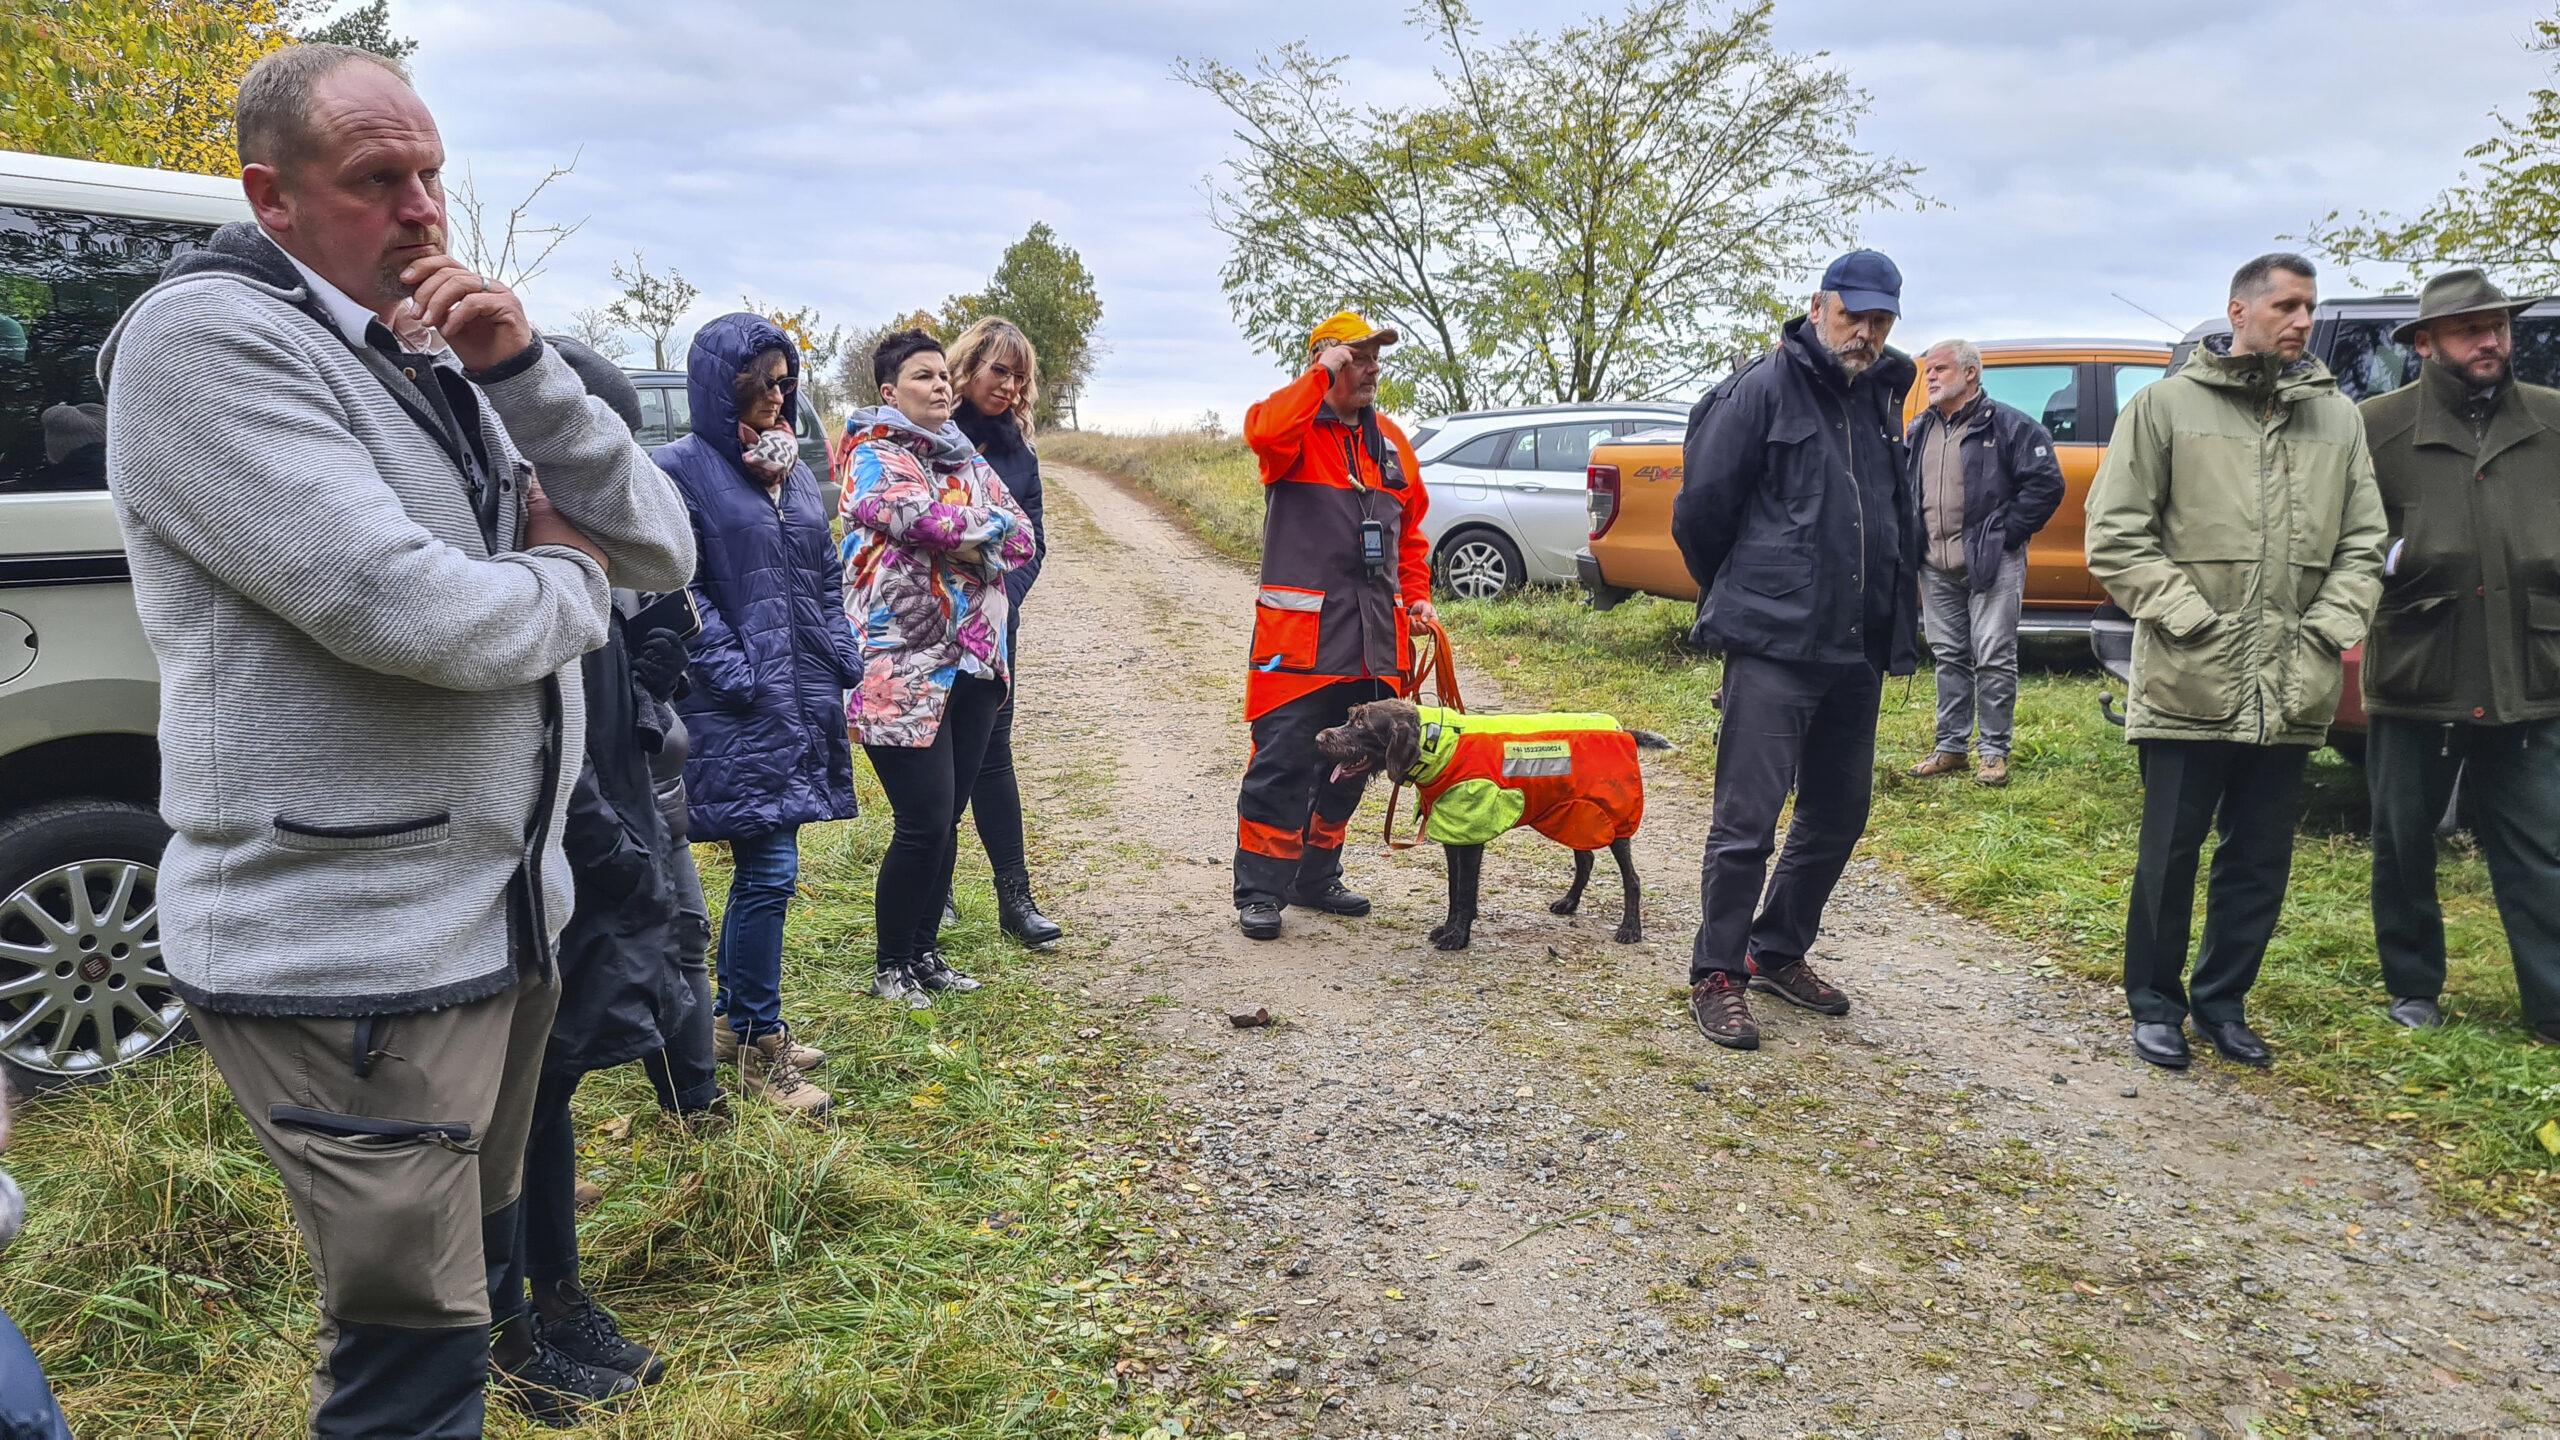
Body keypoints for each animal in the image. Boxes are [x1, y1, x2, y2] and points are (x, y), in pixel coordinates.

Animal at [1320, 696, 1679, 948]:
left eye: (1362, 724)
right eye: (1350, 717)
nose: (1320, 738)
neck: (1439, 745)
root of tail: (1624, 730)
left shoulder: (1471, 836)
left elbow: (1465, 891)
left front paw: (1458, 937)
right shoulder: (1454, 836)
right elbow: (1454, 890)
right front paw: (1452, 928)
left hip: (1615, 818)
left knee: (1631, 878)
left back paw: (1630, 928)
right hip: (1573, 815)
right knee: (1587, 858)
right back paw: (1570, 902)